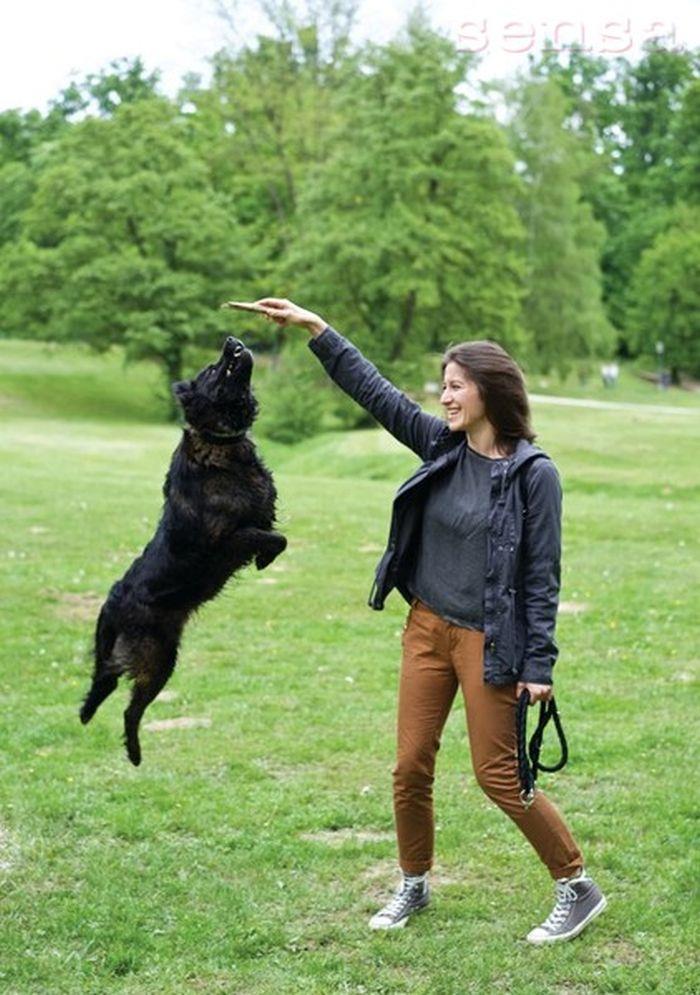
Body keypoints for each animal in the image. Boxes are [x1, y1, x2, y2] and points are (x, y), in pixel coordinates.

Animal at [77, 338, 284, 768]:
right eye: (212, 369)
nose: (233, 342)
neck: (221, 442)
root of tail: (113, 600)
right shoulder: (226, 539)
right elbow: (274, 538)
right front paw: (264, 559)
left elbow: (277, 533)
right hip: (154, 659)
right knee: (117, 693)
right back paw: (114, 735)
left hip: (161, 657)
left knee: (119, 697)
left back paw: (120, 741)